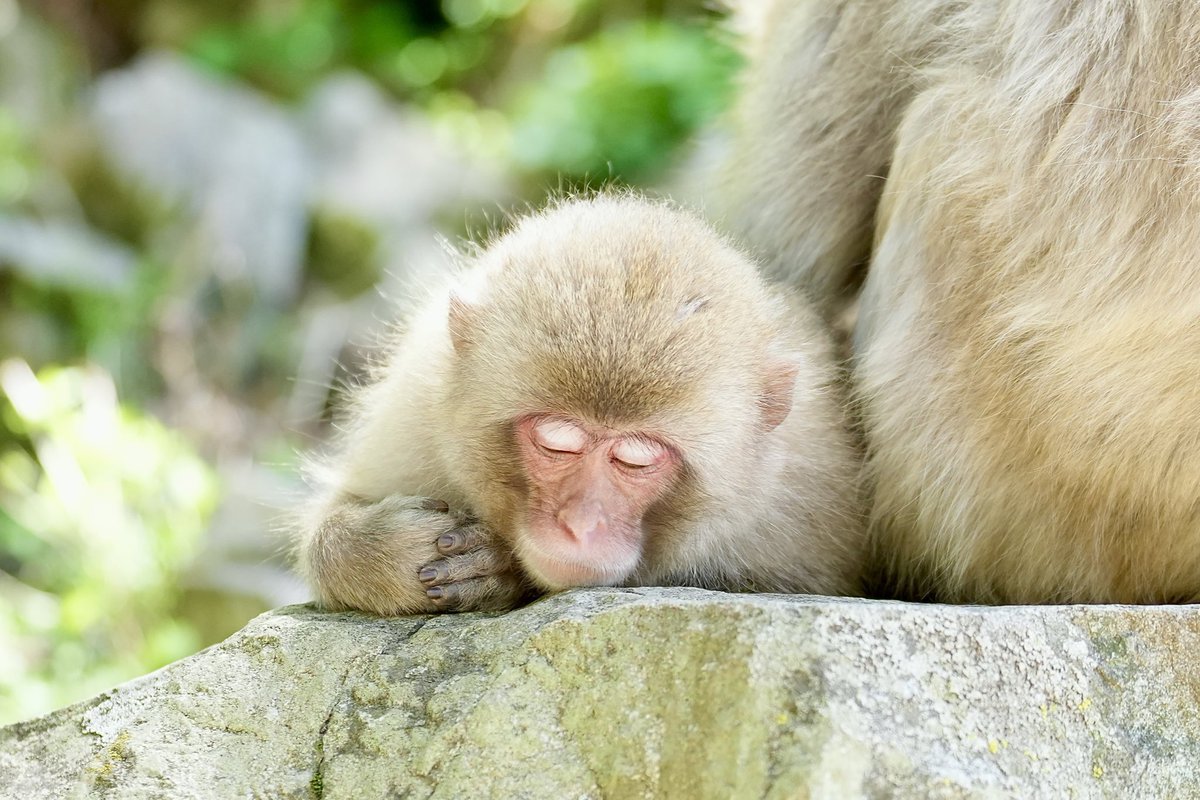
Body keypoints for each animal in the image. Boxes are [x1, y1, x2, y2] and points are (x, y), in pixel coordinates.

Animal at [296, 194, 865, 615]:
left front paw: (498, 570)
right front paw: (379, 552)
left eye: (636, 459)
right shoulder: (416, 404)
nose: (581, 526)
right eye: (557, 444)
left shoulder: (802, 496)